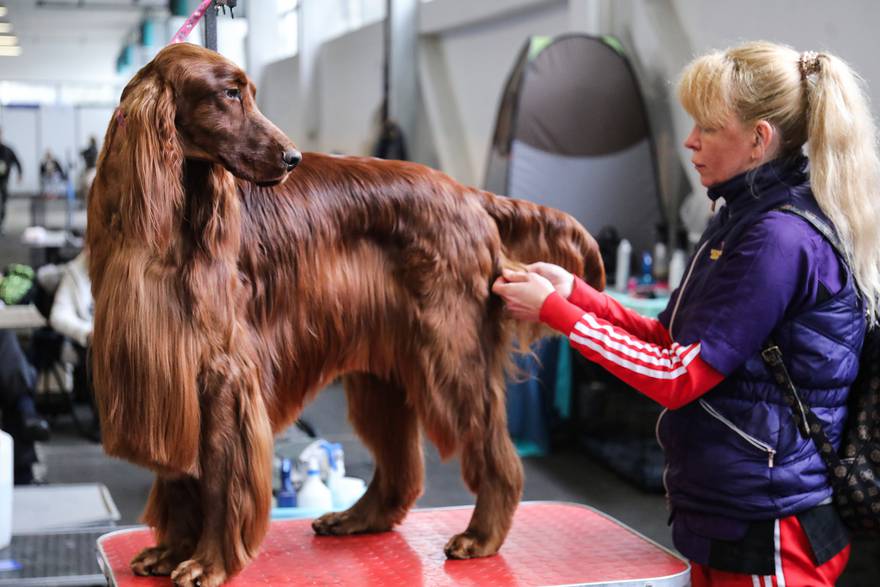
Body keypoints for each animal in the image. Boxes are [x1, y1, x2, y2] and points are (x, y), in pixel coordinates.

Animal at [89, 43, 604, 584]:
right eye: (229, 94)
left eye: (249, 92)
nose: (293, 157)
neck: (171, 214)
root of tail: (468, 195)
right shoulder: (161, 372)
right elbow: (180, 477)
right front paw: (171, 550)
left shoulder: (222, 372)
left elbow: (215, 476)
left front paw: (208, 561)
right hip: (383, 369)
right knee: (401, 466)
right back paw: (358, 517)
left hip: (450, 355)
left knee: (493, 451)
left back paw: (481, 536)